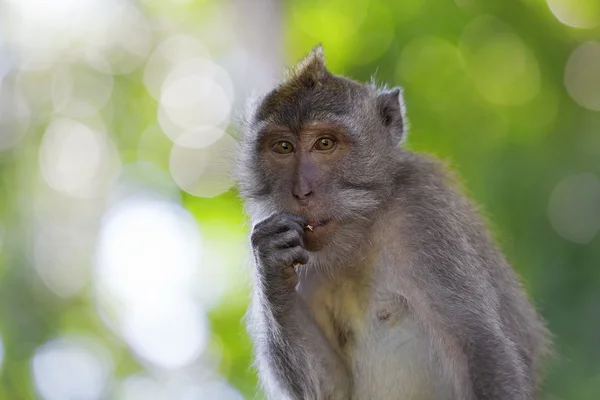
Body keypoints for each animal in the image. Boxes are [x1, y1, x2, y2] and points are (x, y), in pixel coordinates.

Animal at [234, 45, 548, 398]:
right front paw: (272, 263)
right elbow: (333, 388)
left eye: (325, 143)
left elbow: (481, 349)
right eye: (283, 147)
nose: (301, 191)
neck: (365, 226)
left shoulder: (425, 214)